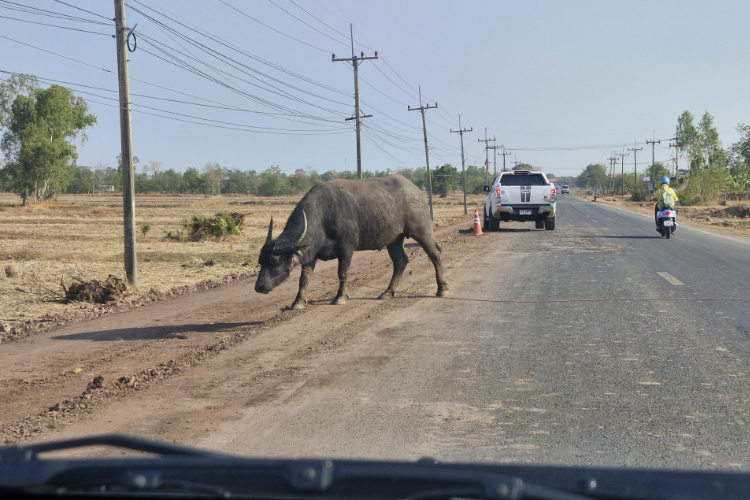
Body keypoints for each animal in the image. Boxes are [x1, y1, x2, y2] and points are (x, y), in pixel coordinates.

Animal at [256, 176, 450, 308]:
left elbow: (342, 272)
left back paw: (442, 288)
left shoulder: (346, 248)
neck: (323, 217)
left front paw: (340, 297)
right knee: (400, 261)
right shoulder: (311, 254)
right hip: (394, 239)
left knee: (435, 253)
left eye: (274, 260)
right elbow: (304, 278)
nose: (258, 286)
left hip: (422, 231)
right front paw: (298, 301)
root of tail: (417, 192)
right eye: (260, 261)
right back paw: (387, 292)